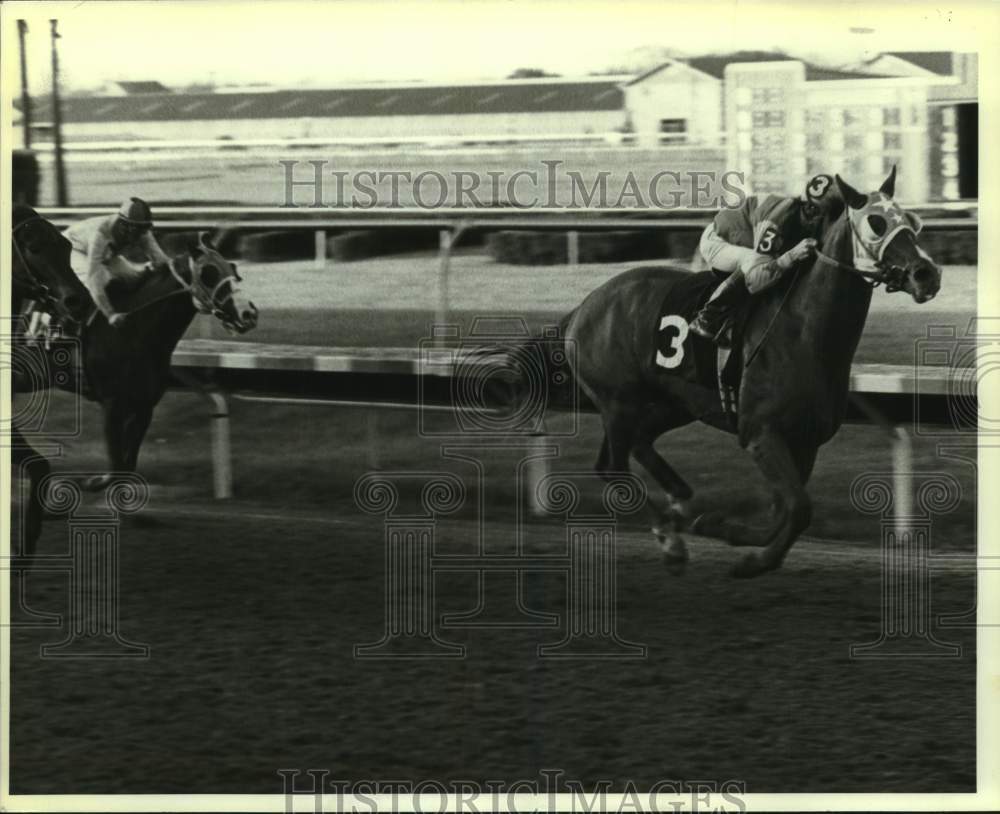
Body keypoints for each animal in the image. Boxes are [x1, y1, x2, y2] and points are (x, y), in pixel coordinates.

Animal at [560, 171, 940, 580]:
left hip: (675, 403)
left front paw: (724, 529)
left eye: (912, 221)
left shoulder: (805, 440)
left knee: (640, 444)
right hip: (618, 402)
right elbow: (799, 509)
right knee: (612, 466)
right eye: (876, 223)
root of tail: (585, 306)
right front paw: (754, 560)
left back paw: (680, 504)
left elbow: (785, 511)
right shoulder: (761, 434)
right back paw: (670, 538)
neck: (803, 333)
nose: (927, 274)